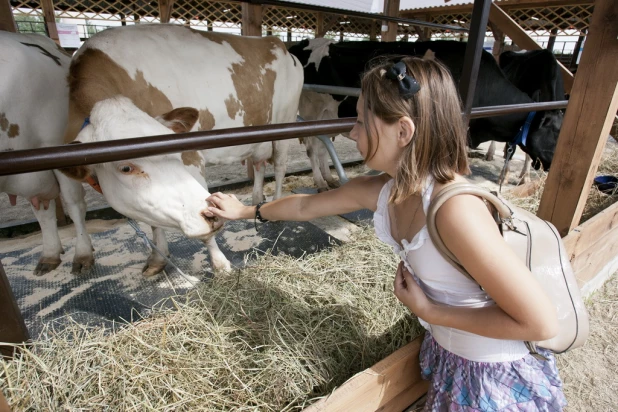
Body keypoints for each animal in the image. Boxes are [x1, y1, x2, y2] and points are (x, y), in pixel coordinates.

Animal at [61, 25, 302, 276]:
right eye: (126, 167)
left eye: (176, 151)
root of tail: (277, 43)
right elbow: (77, 206)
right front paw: (154, 258)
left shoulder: (192, 156)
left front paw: (220, 264)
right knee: (258, 164)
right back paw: (257, 199)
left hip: (285, 120)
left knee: (280, 165)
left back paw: (276, 203)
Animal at [288, 38, 564, 187]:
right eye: (554, 131)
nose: (554, 166)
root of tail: (306, 42)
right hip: (311, 109)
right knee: (312, 146)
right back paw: (320, 182)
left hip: (327, 112)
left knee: (322, 145)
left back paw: (329, 178)